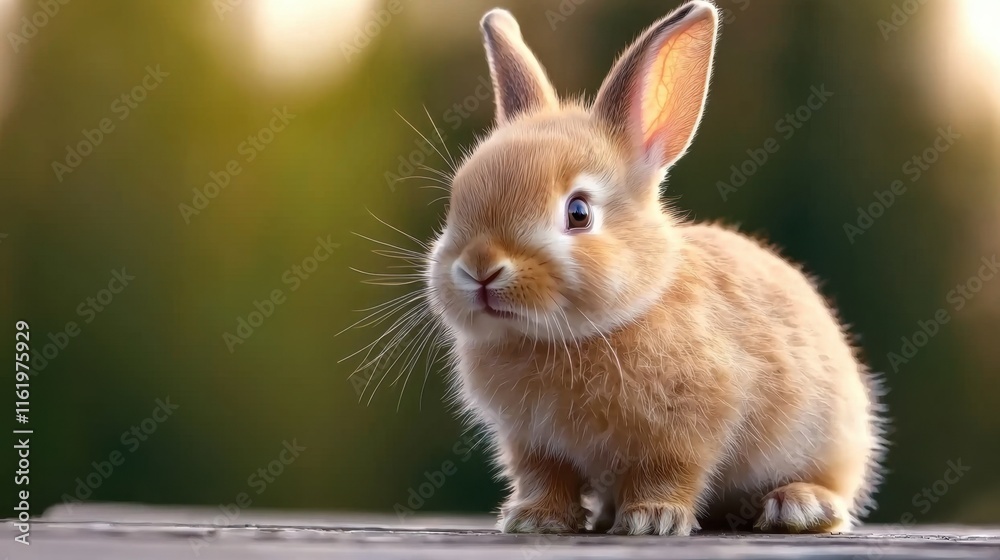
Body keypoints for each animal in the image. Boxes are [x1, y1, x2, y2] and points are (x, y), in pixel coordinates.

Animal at [422, 0, 886, 535]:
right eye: (457, 200)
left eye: (578, 213)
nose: (480, 268)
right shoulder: (533, 443)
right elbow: (545, 478)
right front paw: (535, 521)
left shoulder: (685, 427)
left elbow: (667, 469)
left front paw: (651, 518)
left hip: (830, 438)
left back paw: (798, 506)